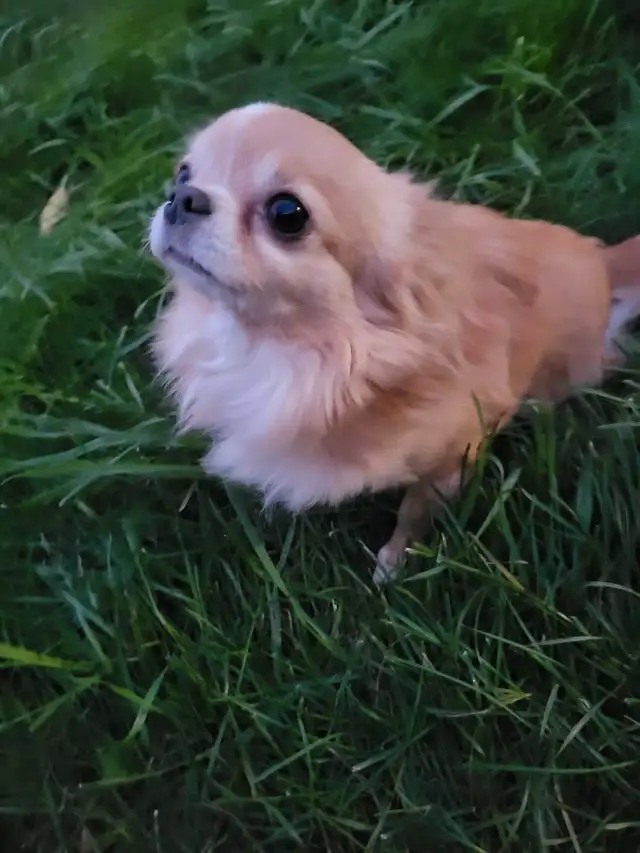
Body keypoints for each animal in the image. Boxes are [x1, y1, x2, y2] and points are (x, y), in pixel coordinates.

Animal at [148, 102, 640, 583]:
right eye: (182, 173)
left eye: (286, 213)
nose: (183, 197)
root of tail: (602, 263)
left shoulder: (457, 450)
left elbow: (415, 510)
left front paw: (395, 563)